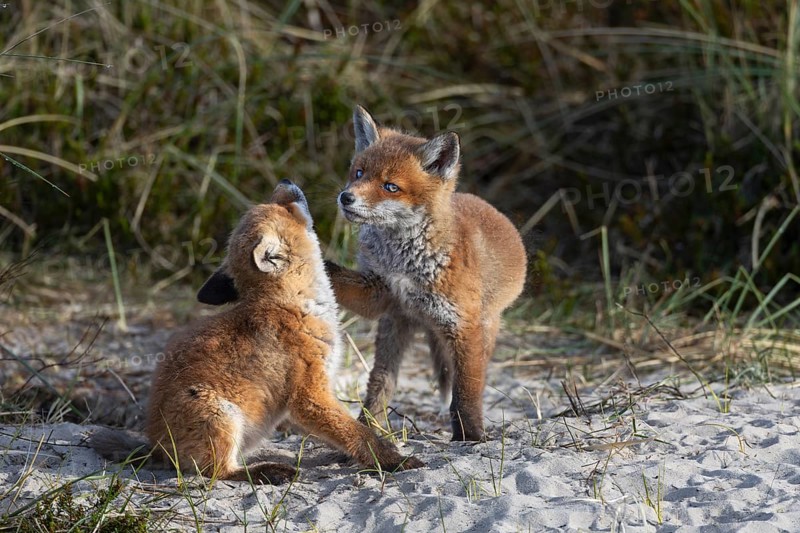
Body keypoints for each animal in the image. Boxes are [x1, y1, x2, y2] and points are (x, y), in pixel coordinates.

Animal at [89, 180, 422, 484]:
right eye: (283, 208)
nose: (285, 181)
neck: (294, 304)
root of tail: (155, 447)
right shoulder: (309, 396)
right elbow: (359, 434)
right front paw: (393, 460)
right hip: (221, 416)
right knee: (216, 472)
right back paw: (268, 471)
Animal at [325, 106, 527, 442]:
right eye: (359, 173)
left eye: (390, 186)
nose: (346, 197)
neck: (403, 262)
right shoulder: (379, 293)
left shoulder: (464, 325)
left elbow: (466, 393)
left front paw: (471, 437)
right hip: (394, 329)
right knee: (381, 385)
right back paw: (370, 426)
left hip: (482, 329)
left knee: (471, 381)